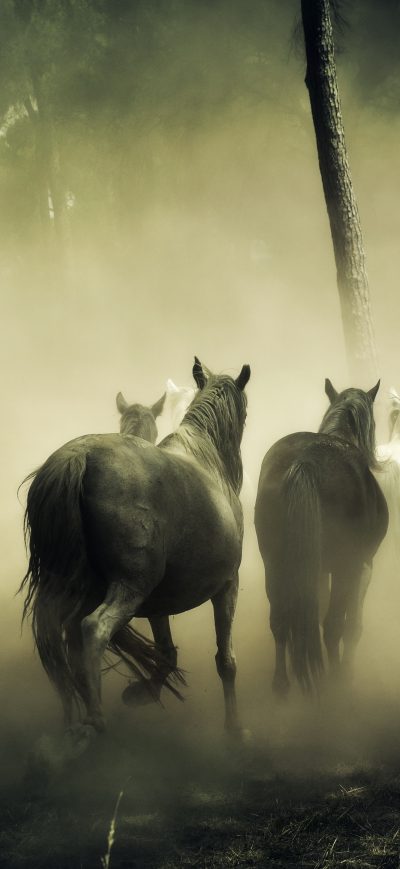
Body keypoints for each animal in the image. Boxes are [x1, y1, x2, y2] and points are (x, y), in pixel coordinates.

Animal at [21, 358, 250, 737]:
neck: (207, 459)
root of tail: (79, 457)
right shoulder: (227, 585)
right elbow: (226, 661)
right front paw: (235, 732)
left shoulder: (159, 601)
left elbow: (167, 653)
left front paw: (140, 693)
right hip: (129, 588)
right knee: (92, 629)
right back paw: (94, 720)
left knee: (56, 642)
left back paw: (71, 722)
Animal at [254, 379, 388, 696]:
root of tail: (307, 461)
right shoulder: (362, 566)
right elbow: (352, 626)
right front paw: (347, 672)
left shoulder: (315, 570)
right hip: (343, 567)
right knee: (332, 626)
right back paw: (335, 683)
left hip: (275, 563)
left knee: (280, 620)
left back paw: (282, 683)